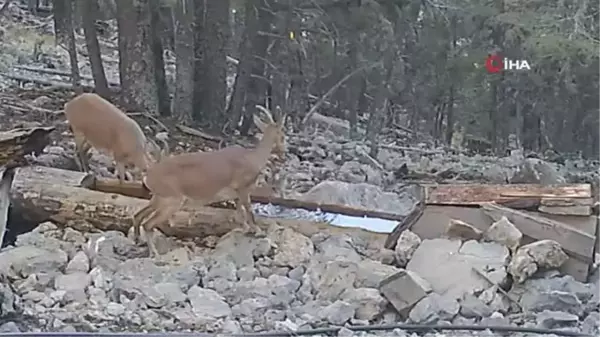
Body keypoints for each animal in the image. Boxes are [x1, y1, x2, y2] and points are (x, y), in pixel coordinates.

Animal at [132, 104, 288, 255]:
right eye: (283, 134)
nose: (284, 151)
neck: (253, 158)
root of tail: (149, 175)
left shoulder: (236, 194)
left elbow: (239, 213)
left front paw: (245, 229)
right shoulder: (243, 188)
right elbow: (249, 211)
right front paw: (258, 231)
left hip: (159, 199)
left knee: (138, 215)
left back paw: (139, 241)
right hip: (172, 201)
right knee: (148, 224)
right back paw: (154, 253)